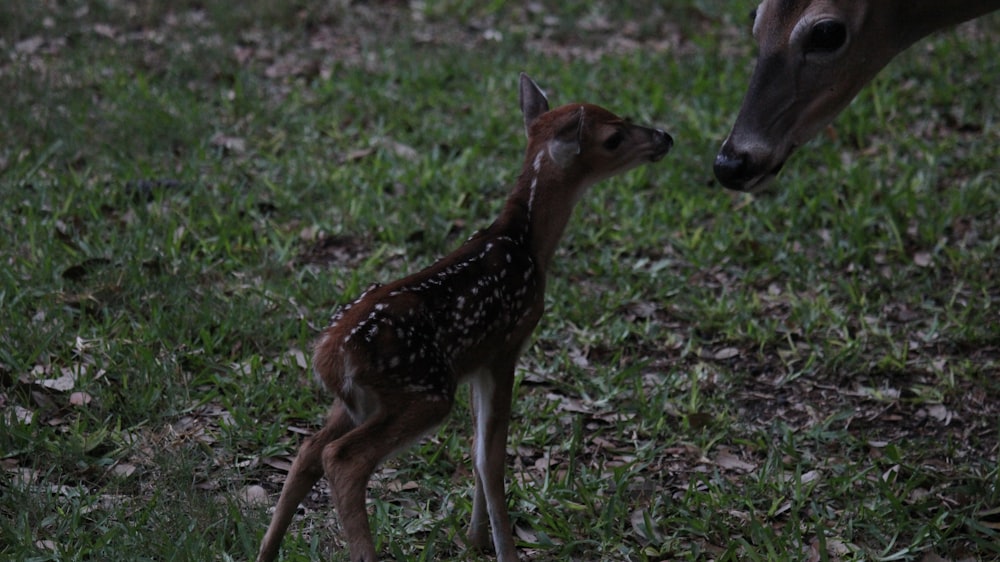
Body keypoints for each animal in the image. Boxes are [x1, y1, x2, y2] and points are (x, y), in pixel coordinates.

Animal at [254, 72, 672, 556]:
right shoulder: (506, 346)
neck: (527, 244)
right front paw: (505, 550)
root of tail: (328, 355)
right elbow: (491, 458)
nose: (664, 137)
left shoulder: (474, 360)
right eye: (614, 137)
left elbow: (475, 451)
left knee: (308, 449)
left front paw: (475, 539)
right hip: (425, 390)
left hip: (360, 401)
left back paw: (266, 552)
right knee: (341, 458)